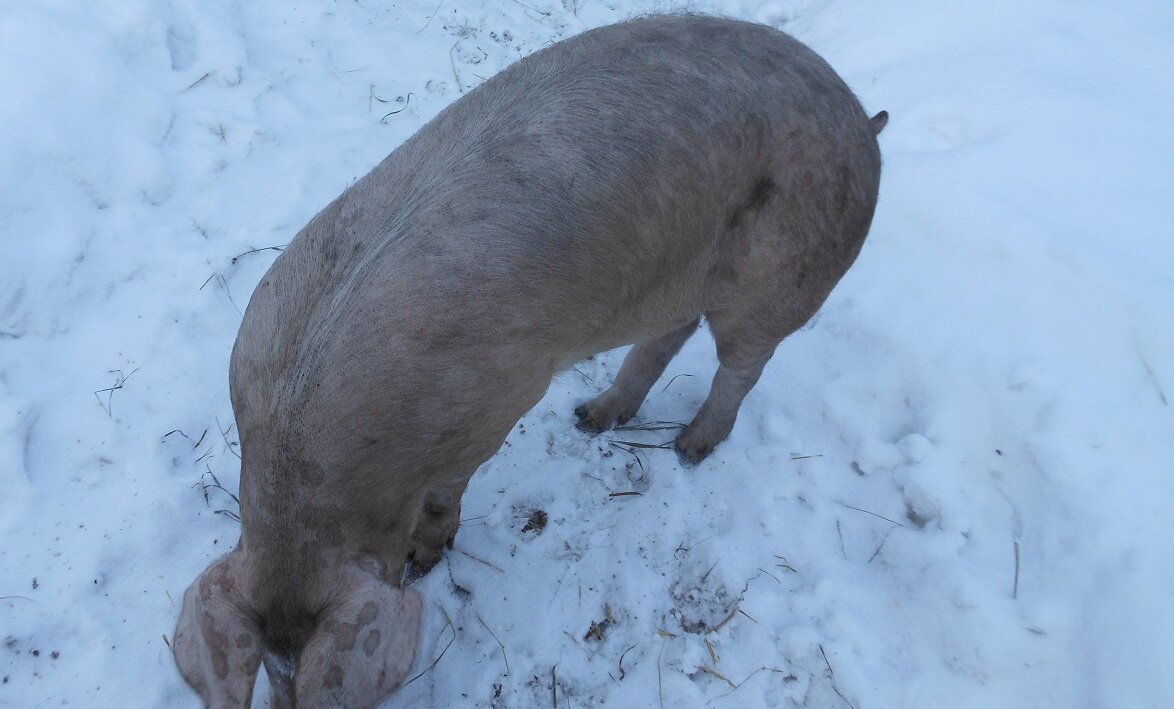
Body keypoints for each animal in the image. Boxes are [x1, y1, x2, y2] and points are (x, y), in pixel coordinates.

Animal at [171, 12, 887, 709]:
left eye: (306, 660)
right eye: (269, 662)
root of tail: (862, 119)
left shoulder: (496, 406)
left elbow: (448, 494)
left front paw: (426, 559)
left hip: (788, 272)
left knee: (744, 362)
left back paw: (689, 448)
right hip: (676, 277)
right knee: (671, 333)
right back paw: (591, 417)